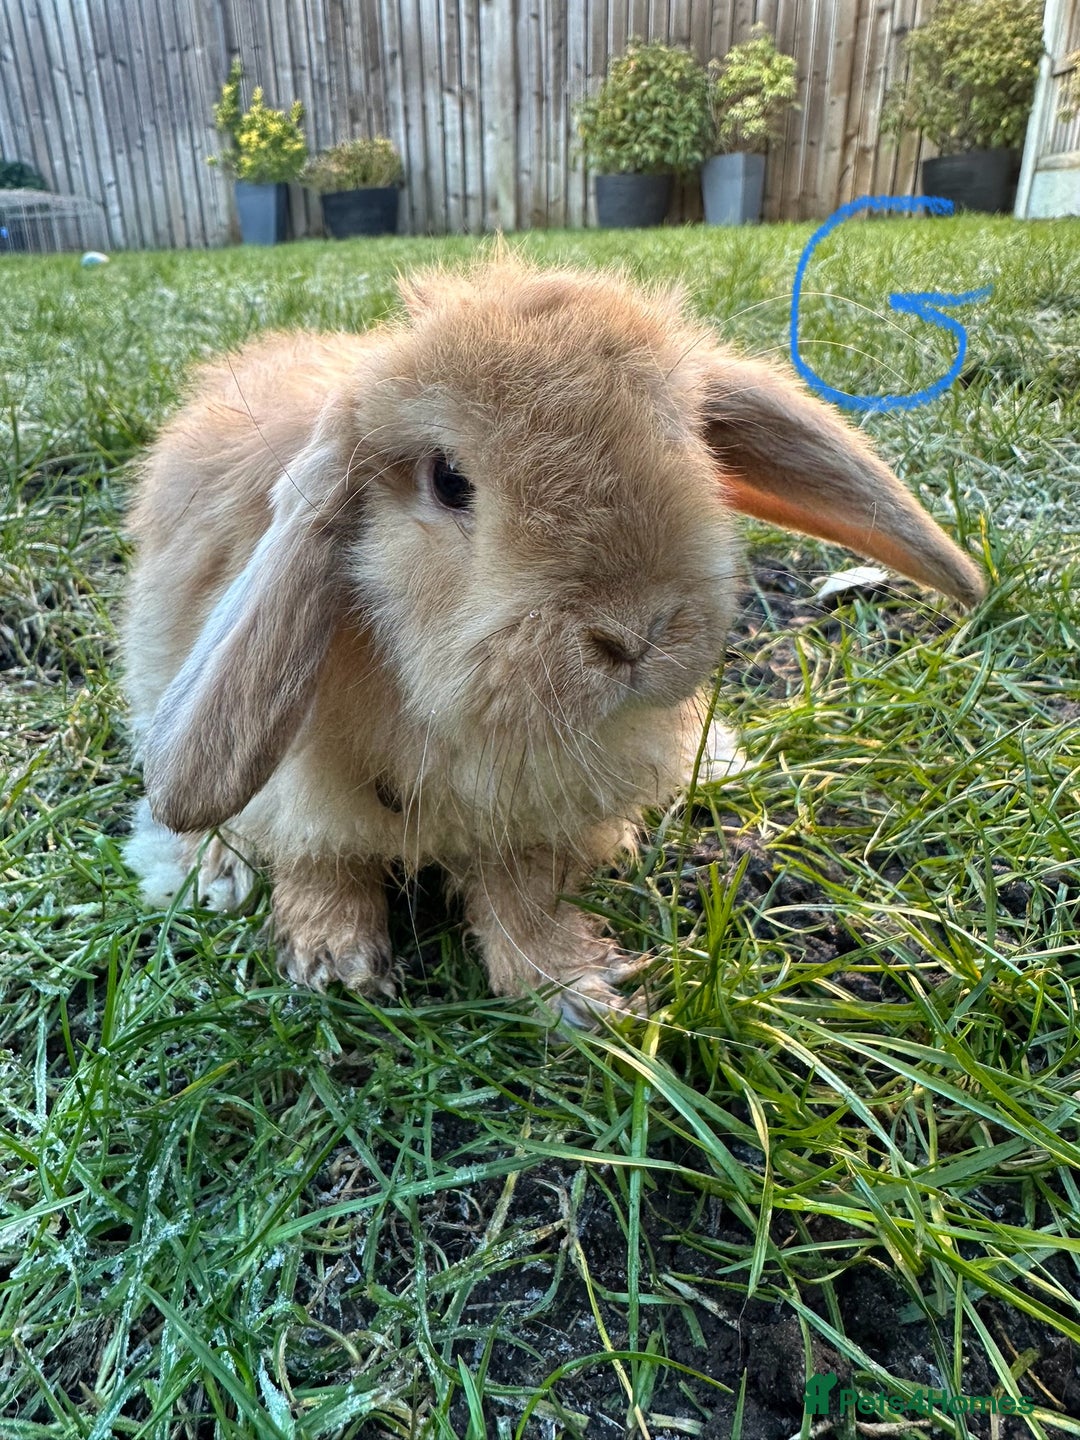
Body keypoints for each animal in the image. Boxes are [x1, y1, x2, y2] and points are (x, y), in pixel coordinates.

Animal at [121, 253, 985, 1024]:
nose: (634, 635)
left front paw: (578, 993)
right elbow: (322, 864)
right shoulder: (304, 794)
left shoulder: (537, 822)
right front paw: (336, 963)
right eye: (450, 481)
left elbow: (521, 898)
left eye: (687, 442)